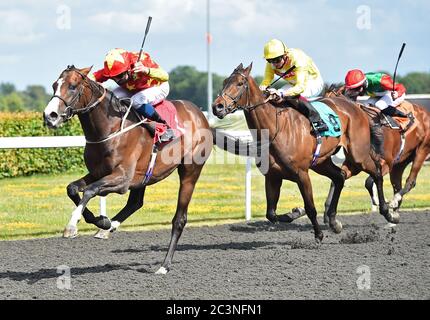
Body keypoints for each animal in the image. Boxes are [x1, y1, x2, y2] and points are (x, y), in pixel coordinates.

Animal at [42, 64, 213, 272]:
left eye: (73, 86)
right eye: (54, 85)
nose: (49, 116)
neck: (111, 128)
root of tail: (199, 113)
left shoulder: (122, 178)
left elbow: (90, 190)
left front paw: (73, 225)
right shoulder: (99, 172)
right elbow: (73, 188)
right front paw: (102, 221)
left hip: (190, 171)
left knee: (179, 218)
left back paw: (164, 265)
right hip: (144, 175)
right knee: (135, 203)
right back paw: (108, 228)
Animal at [212, 63, 400, 241]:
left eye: (240, 83)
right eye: (224, 82)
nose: (217, 107)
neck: (274, 129)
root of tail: (355, 106)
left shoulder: (302, 174)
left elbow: (310, 207)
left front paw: (318, 234)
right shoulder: (272, 176)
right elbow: (271, 214)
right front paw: (295, 212)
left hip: (358, 155)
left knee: (376, 173)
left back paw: (389, 212)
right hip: (321, 162)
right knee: (339, 177)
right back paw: (334, 221)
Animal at [326, 85, 430, 215]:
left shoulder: (386, 163)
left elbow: (369, 181)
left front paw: (379, 201)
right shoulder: (354, 164)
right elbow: (339, 178)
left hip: (422, 150)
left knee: (410, 181)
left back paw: (394, 201)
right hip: (400, 162)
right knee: (397, 184)